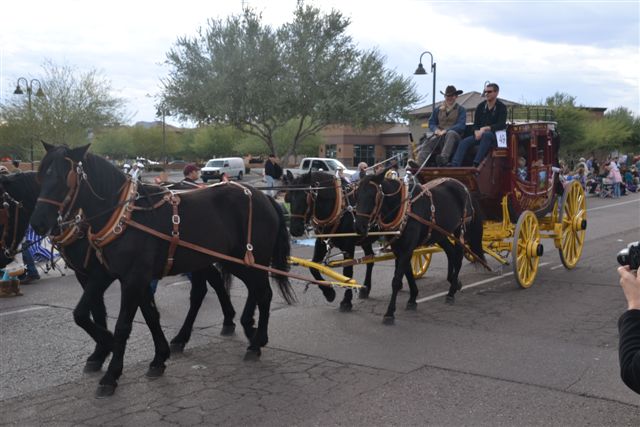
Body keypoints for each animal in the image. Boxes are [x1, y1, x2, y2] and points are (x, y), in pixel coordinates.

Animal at [0, 171, 238, 372]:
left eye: (3, 207)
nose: (4, 255)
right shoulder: (88, 274)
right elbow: (103, 311)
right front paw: (103, 352)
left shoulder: (108, 274)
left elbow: (102, 311)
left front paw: (107, 348)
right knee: (208, 285)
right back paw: (218, 323)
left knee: (203, 288)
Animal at [30, 144, 296, 398]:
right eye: (40, 177)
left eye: (64, 178)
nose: (39, 222)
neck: (124, 218)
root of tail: (263, 197)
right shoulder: (113, 275)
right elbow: (110, 314)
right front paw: (154, 356)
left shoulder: (130, 278)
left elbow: (122, 325)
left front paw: (111, 371)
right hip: (231, 261)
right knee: (244, 290)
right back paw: (236, 331)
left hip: (250, 258)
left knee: (262, 293)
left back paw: (255, 341)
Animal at [284, 171, 376, 310]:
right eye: (289, 198)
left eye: (305, 198)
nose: (295, 230)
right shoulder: (321, 242)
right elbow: (313, 267)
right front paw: (329, 292)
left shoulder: (348, 245)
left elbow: (347, 271)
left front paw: (346, 301)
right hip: (365, 239)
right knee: (370, 259)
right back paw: (366, 289)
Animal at [352, 172, 482, 322]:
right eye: (356, 195)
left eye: (372, 196)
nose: (359, 227)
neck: (404, 209)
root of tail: (463, 186)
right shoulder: (399, 248)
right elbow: (408, 272)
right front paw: (413, 298)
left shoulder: (407, 248)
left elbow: (396, 279)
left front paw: (389, 312)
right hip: (440, 233)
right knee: (450, 252)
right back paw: (453, 282)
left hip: (459, 229)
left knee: (458, 257)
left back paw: (451, 292)